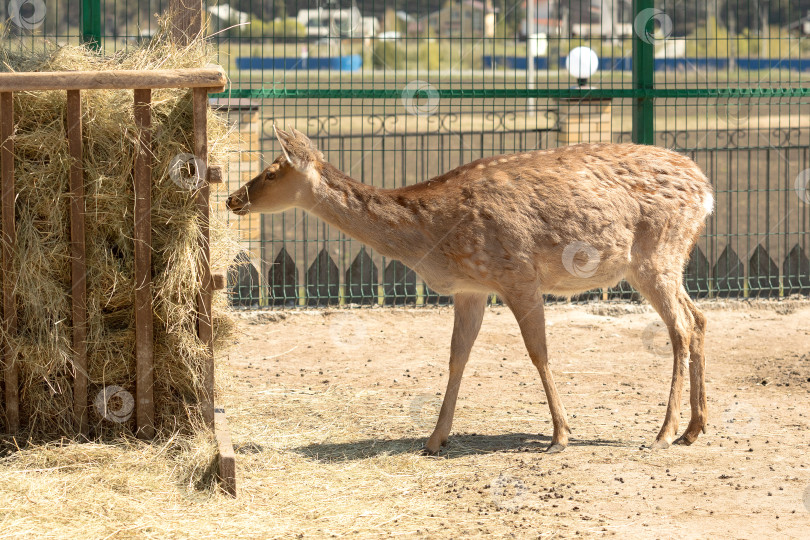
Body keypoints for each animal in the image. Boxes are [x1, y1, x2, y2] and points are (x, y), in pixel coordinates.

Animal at [224, 127, 712, 456]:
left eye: (271, 172)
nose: (231, 199)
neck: (432, 237)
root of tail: (707, 190)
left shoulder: (518, 273)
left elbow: (538, 352)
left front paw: (560, 436)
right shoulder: (470, 288)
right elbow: (457, 356)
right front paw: (434, 439)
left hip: (657, 253)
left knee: (681, 328)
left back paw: (664, 432)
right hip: (672, 258)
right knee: (700, 318)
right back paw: (694, 428)